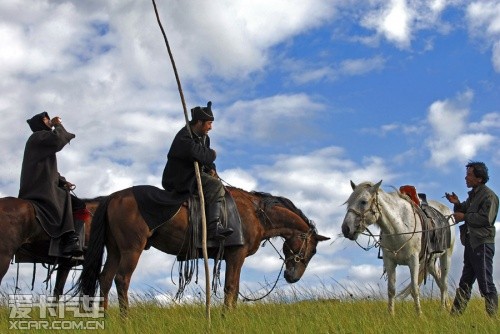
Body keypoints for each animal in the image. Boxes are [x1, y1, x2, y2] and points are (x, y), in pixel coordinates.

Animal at [76, 185, 330, 316]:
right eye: (312, 251)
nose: (292, 277)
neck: (255, 214)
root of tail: (112, 197)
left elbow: (232, 289)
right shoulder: (236, 256)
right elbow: (231, 288)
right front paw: (227, 318)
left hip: (115, 250)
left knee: (105, 279)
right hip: (131, 249)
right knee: (122, 279)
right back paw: (125, 318)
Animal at [342, 181, 456, 314]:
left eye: (363, 202)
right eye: (349, 202)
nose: (345, 229)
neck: (398, 228)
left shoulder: (413, 261)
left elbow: (414, 289)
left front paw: (419, 314)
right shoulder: (390, 262)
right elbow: (391, 290)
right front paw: (391, 314)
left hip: (446, 256)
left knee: (444, 283)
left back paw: (443, 308)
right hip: (430, 261)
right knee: (440, 282)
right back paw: (446, 307)